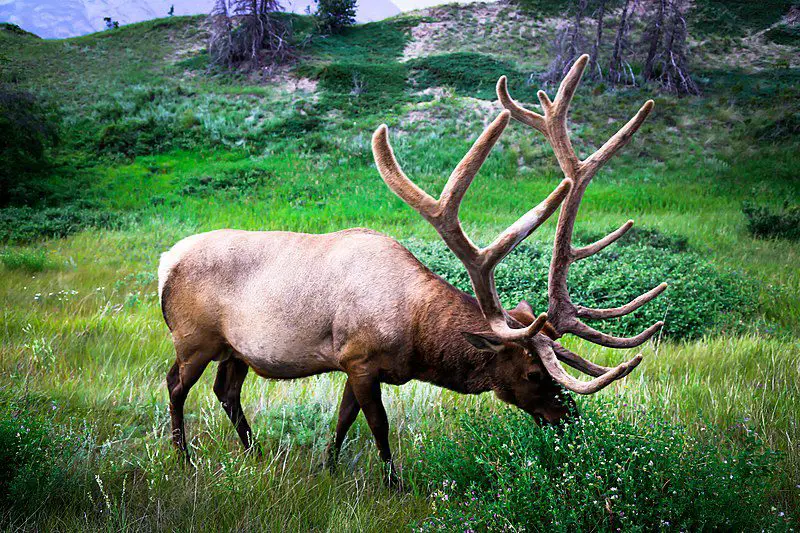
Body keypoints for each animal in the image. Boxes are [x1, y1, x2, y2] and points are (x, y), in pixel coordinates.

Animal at [156, 56, 664, 484]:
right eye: (534, 374)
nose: (570, 420)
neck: (417, 339)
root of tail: (164, 262)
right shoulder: (359, 359)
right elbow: (378, 427)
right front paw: (393, 484)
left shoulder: (357, 366)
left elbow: (343, 421)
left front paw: (327, 468)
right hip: (193, 338)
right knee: (175, 385)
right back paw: (184, 458)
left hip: (235, 349)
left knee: (226, 391)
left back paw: (254, 452)